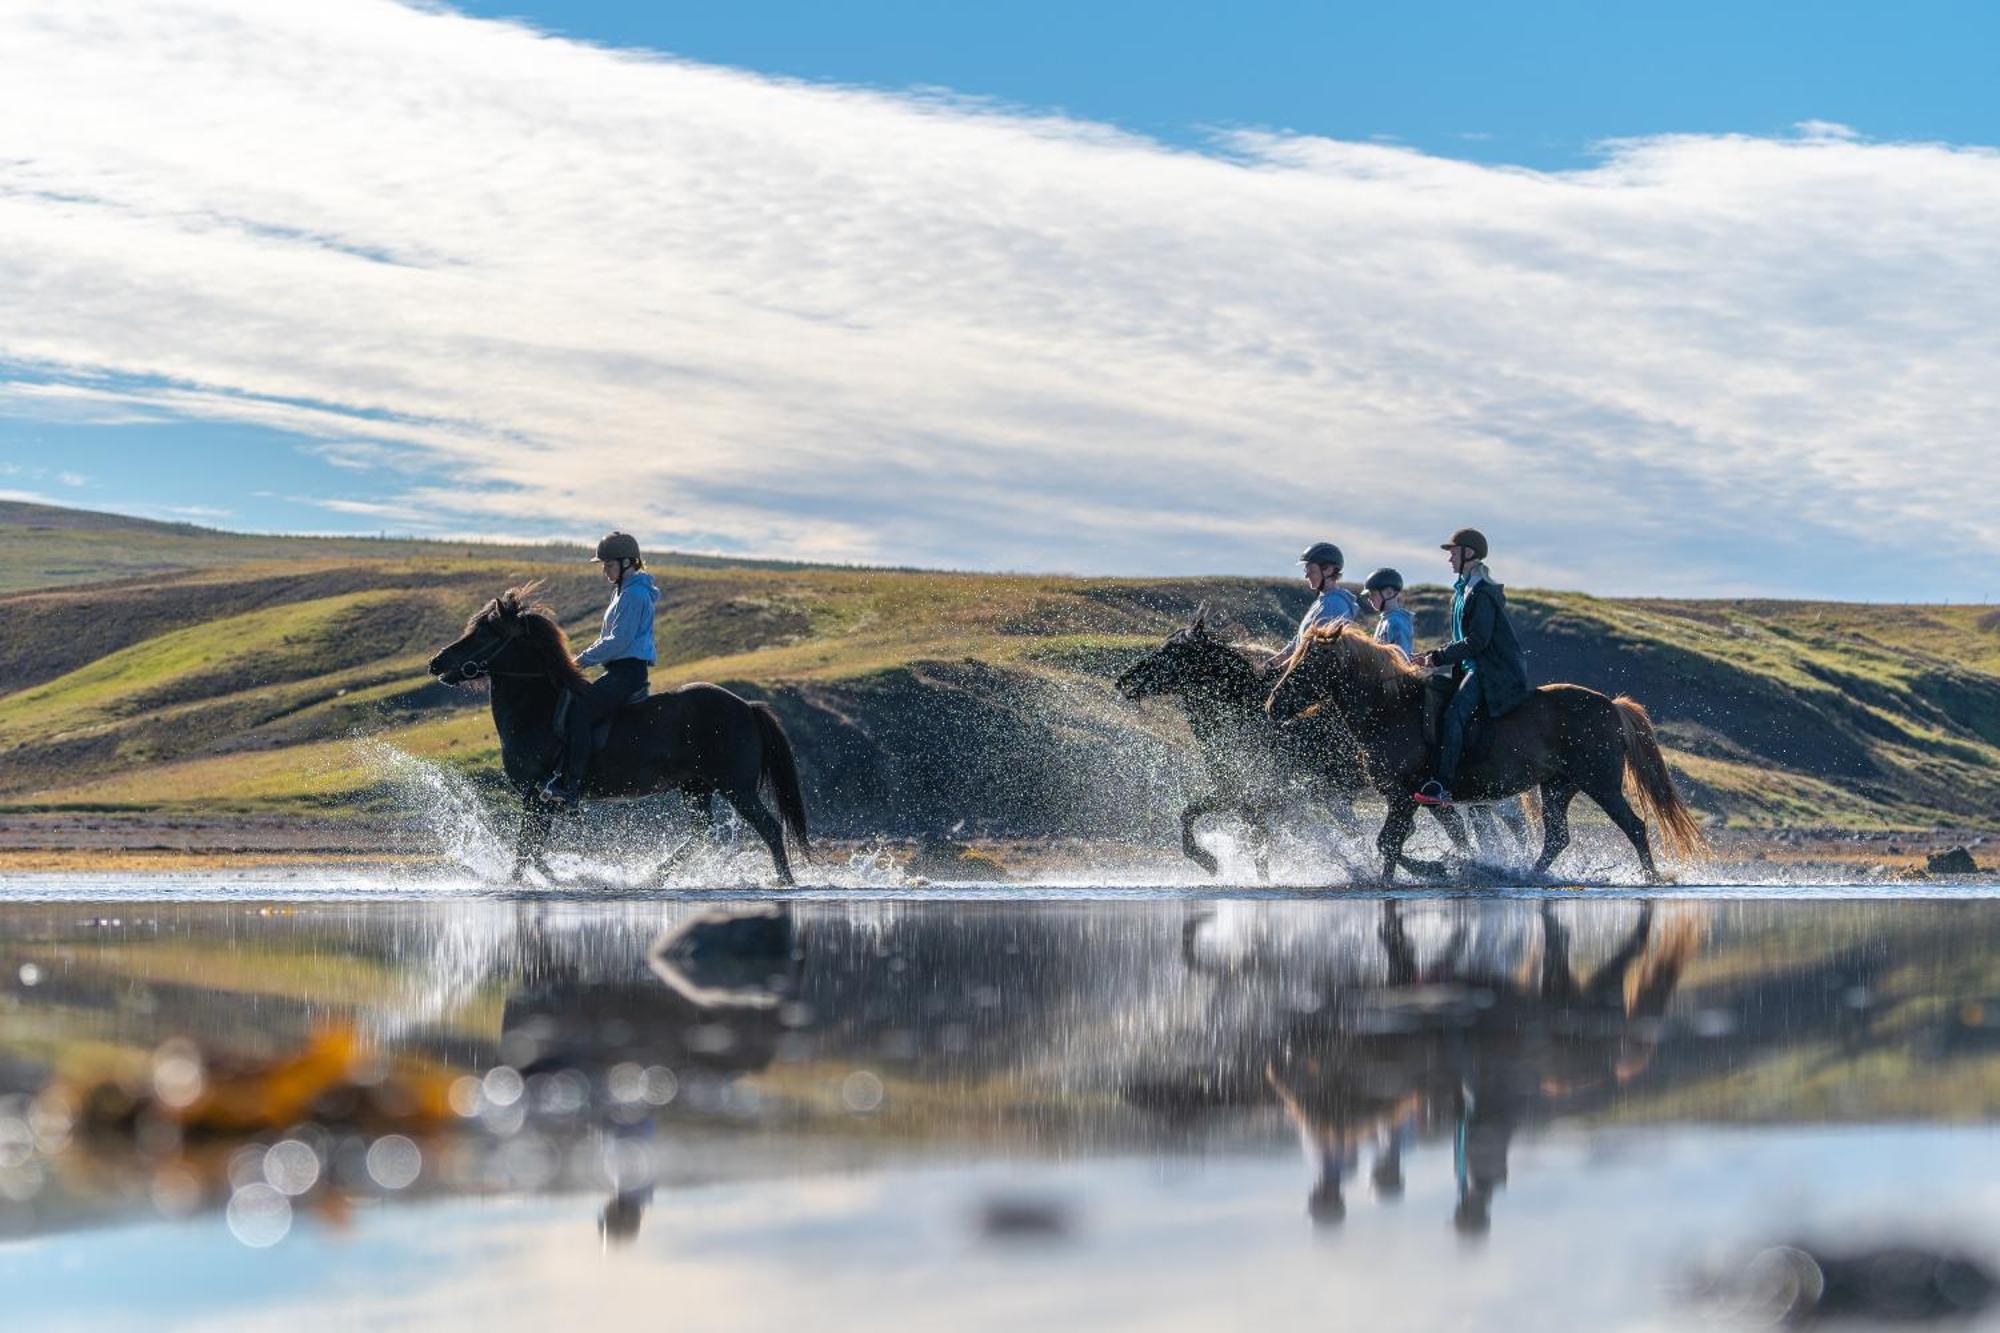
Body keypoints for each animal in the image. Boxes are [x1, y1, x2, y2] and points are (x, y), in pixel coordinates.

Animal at [426, 580, 808, 880]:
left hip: (735, 786)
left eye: (484, 633)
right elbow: (531, 852)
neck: (535, 711)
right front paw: (566, 880)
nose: (436, 662)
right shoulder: (538, 801)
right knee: (703, 831)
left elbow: (524, 852)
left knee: (769, 828)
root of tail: (747, 706)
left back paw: (784, 882)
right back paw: (655, 876)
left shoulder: (537, 797)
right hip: (696, 787)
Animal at [1264, 624, 1704, 880]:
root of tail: (1611, 705)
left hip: (1601, 784)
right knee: (1556, 838)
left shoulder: (1405, 797)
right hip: (1558, 787)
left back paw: (1651, 879)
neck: (1392, 710)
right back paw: (1527, 876)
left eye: (1309, 664)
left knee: (1634, 826)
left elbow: (1389, 843)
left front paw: (1426, 870)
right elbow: (1402, 840)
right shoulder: (1414, 798)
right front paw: (1444, 866)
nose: (1272, 705)